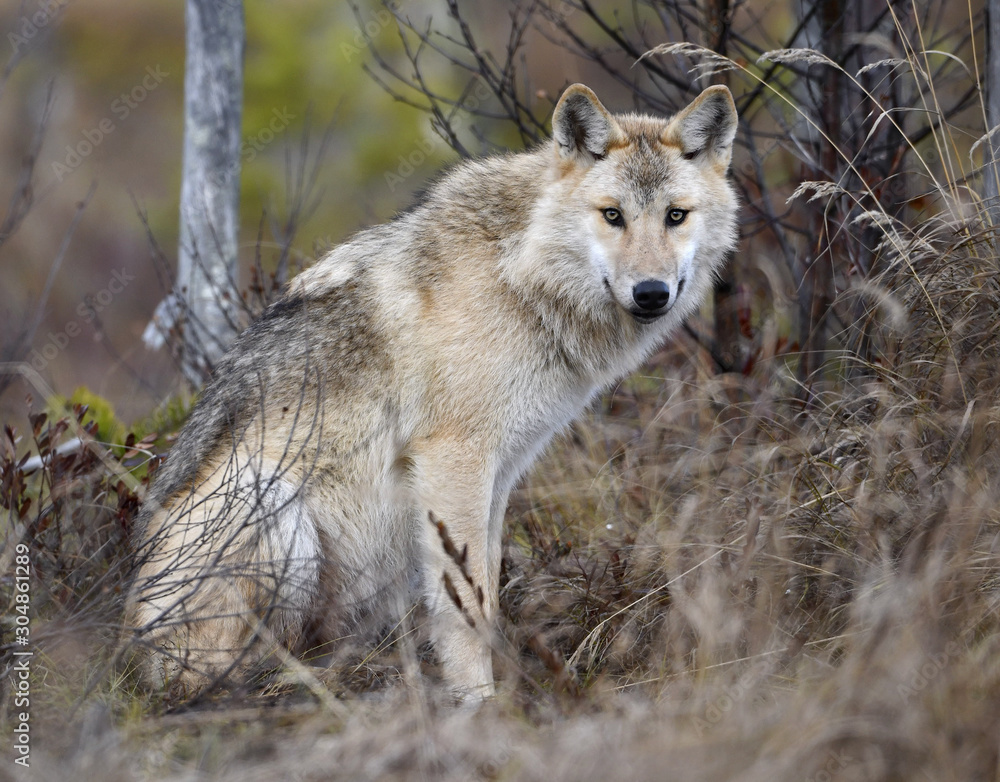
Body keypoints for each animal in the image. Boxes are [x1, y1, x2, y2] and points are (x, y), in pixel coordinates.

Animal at [125, 82, 739, 699]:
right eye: (613, 215)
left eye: (675, 216)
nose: (652, 292)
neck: (521, 274)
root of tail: (131, 654)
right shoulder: (455, 460)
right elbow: (465, 606)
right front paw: (479, 704)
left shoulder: (500, 472)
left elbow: (485, 590)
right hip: (272, 502)